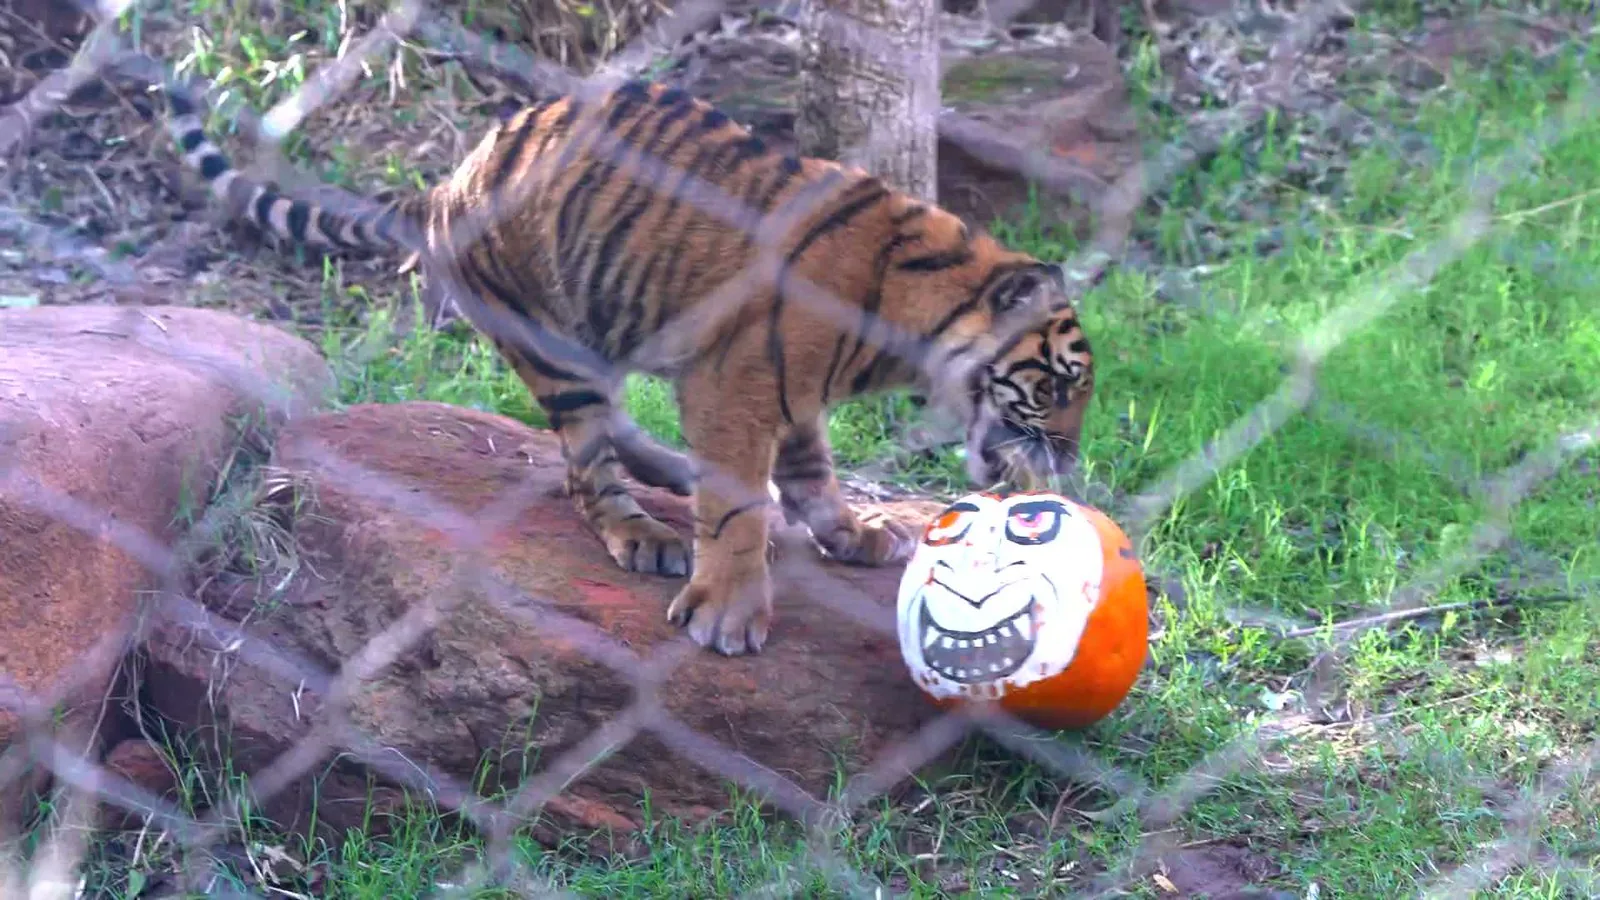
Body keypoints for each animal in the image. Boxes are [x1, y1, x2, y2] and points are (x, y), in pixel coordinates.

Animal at [157, 75, 1098, 656]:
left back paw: (668, 474)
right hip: (554, 336)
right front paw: (728, 612)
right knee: (586, 470)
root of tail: (447, 182)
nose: (1069, 458)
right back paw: (646, 532)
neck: (915, 309)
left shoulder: (788, 390)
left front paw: (852, 533)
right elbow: (737, 507)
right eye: (1056, 388)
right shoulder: (738, 382)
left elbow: (812, 473)